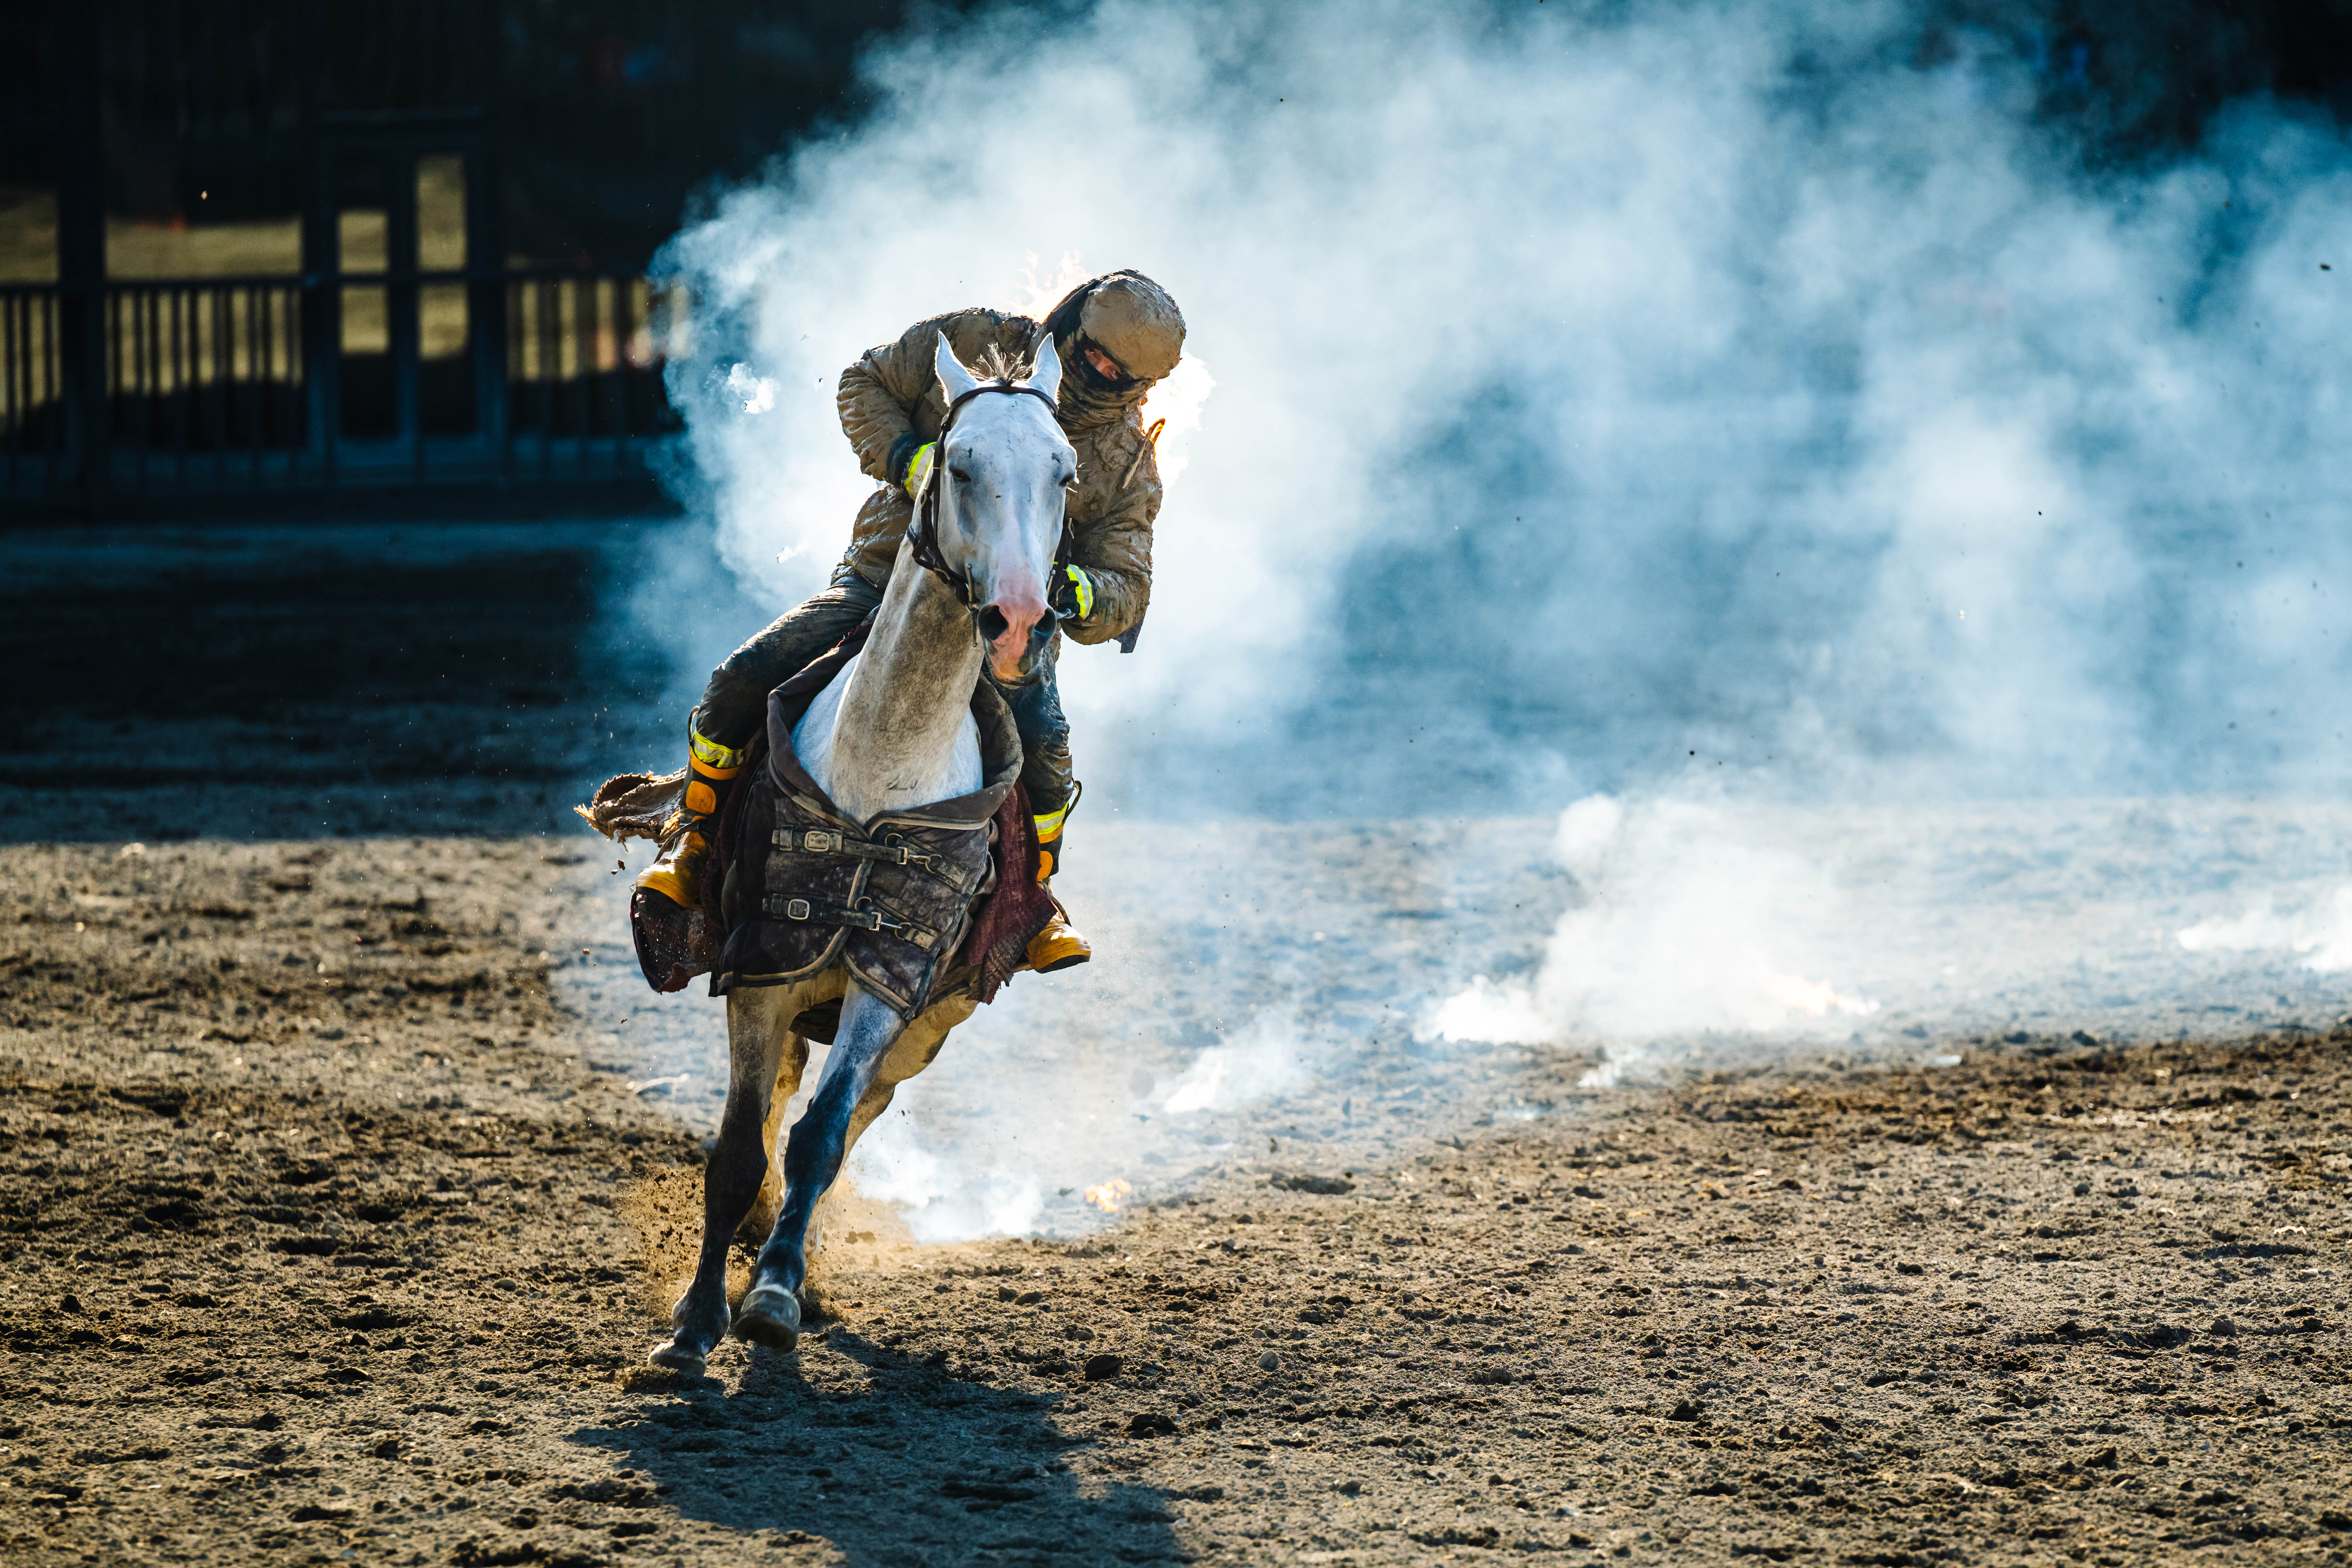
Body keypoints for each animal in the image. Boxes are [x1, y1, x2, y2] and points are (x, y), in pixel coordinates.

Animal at [654, 334, 1077, 1373]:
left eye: (1064, 472)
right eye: (958, 465)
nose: (1020, 619)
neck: (883, 758)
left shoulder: (888, 976)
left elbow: (818, 1139)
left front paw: (772, 1294)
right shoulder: (765, 964)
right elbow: (739, 1148)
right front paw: (694, 1320)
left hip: (923, 1030)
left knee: (839, 1129)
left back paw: (794, 1266)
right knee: (770, 1112)